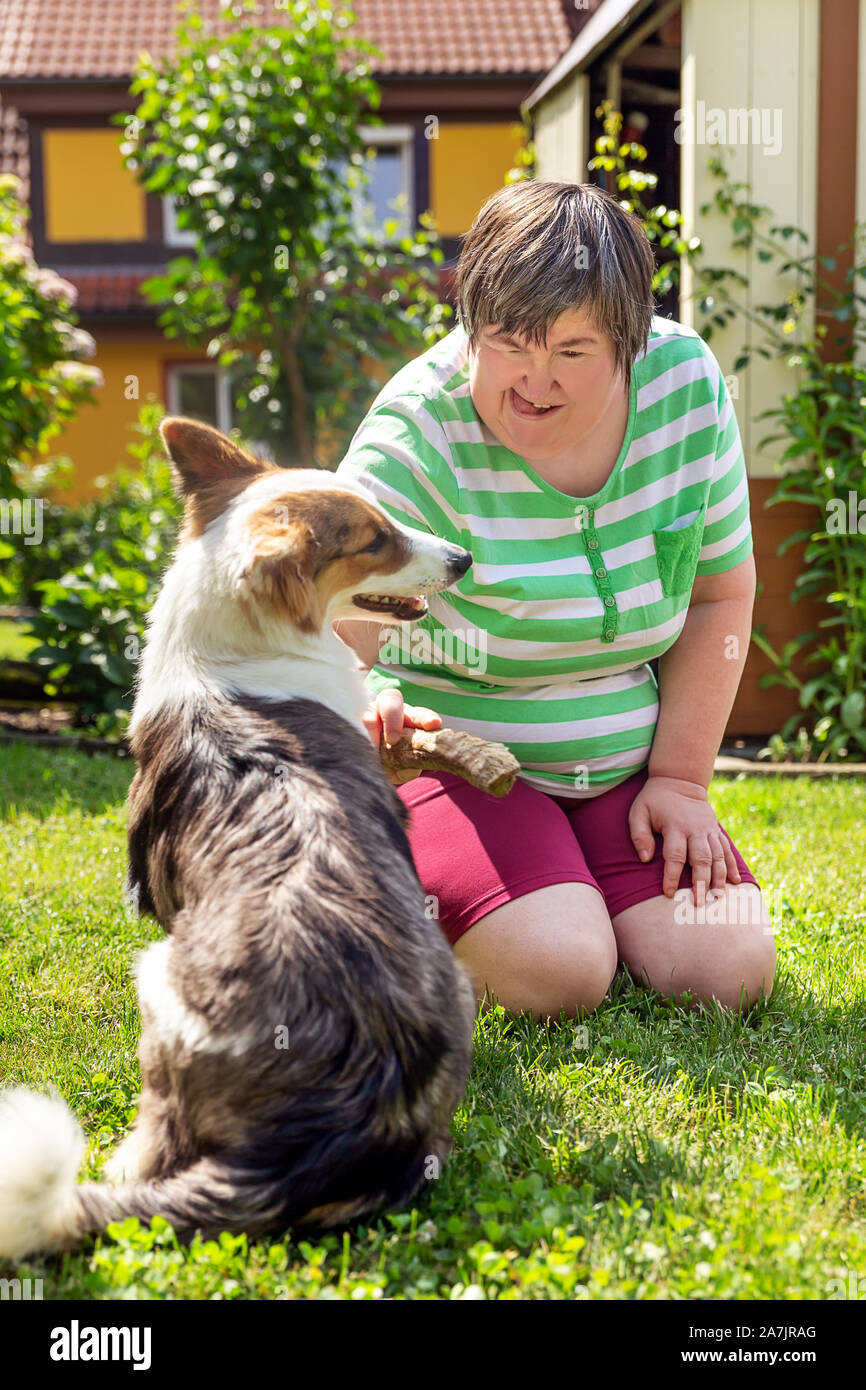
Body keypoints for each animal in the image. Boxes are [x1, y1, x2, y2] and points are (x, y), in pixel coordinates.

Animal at [0, 414, 478, 1262]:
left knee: (154, 1145)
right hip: (459, 988)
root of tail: (306, 1144)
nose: (463, 559)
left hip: (158, 980)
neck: (235, 655)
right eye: (375, 538)